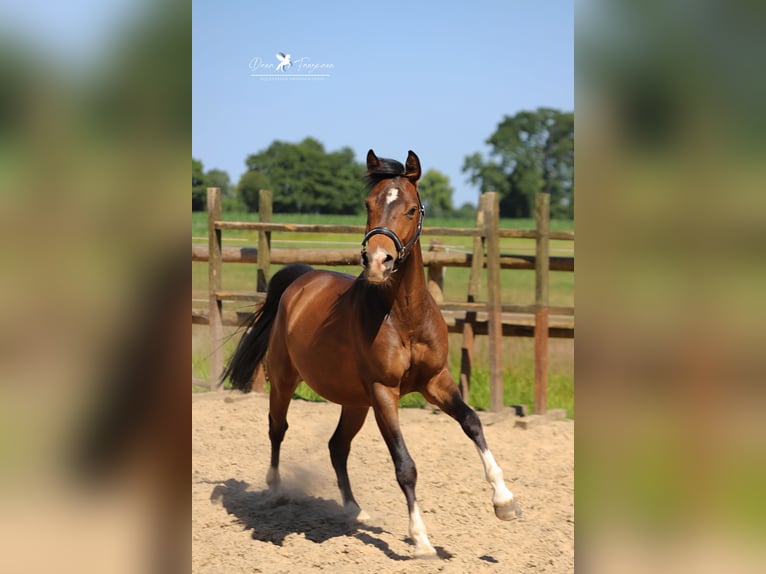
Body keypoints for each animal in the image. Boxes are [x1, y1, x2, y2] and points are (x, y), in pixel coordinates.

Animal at [224, 151, 520, 560]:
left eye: (411, 208)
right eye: (368, 205)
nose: (379, 261)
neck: (404, 317)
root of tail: (302, 279)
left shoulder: (435, 382)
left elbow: (473, 423)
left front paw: (504, 502)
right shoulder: (384, 392)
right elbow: (405, 465)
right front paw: (421, 540)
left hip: (354, 402)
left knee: (337, 446)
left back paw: (355, 511)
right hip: (286, 381)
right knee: (277, 428)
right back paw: (277, 491)